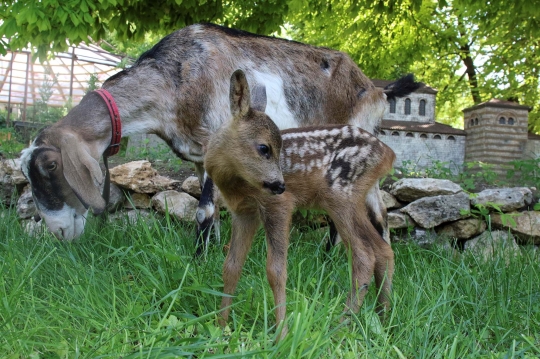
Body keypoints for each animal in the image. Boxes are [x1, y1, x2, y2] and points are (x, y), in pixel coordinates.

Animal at [19, 21, 420, 242]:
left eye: (51, 167)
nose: (57, 232)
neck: (175, 78)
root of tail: (376, 89)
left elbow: (204, 213)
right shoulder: (198, 154)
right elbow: (207, 214)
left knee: (379, 214)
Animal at [207, 69, 396, 338]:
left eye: (276, 147)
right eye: (264, 147)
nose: (280, 185)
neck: (235, 182)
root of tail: (389, 155)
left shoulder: (278, 205)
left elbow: (276, 271)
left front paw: (282, 333)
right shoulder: (244, 212)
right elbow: (231, 267)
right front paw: (221, 326)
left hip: (340, 196)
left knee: (364, 254)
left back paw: (340, 325)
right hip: (358, 197)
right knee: (383, 250)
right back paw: (383, 317)